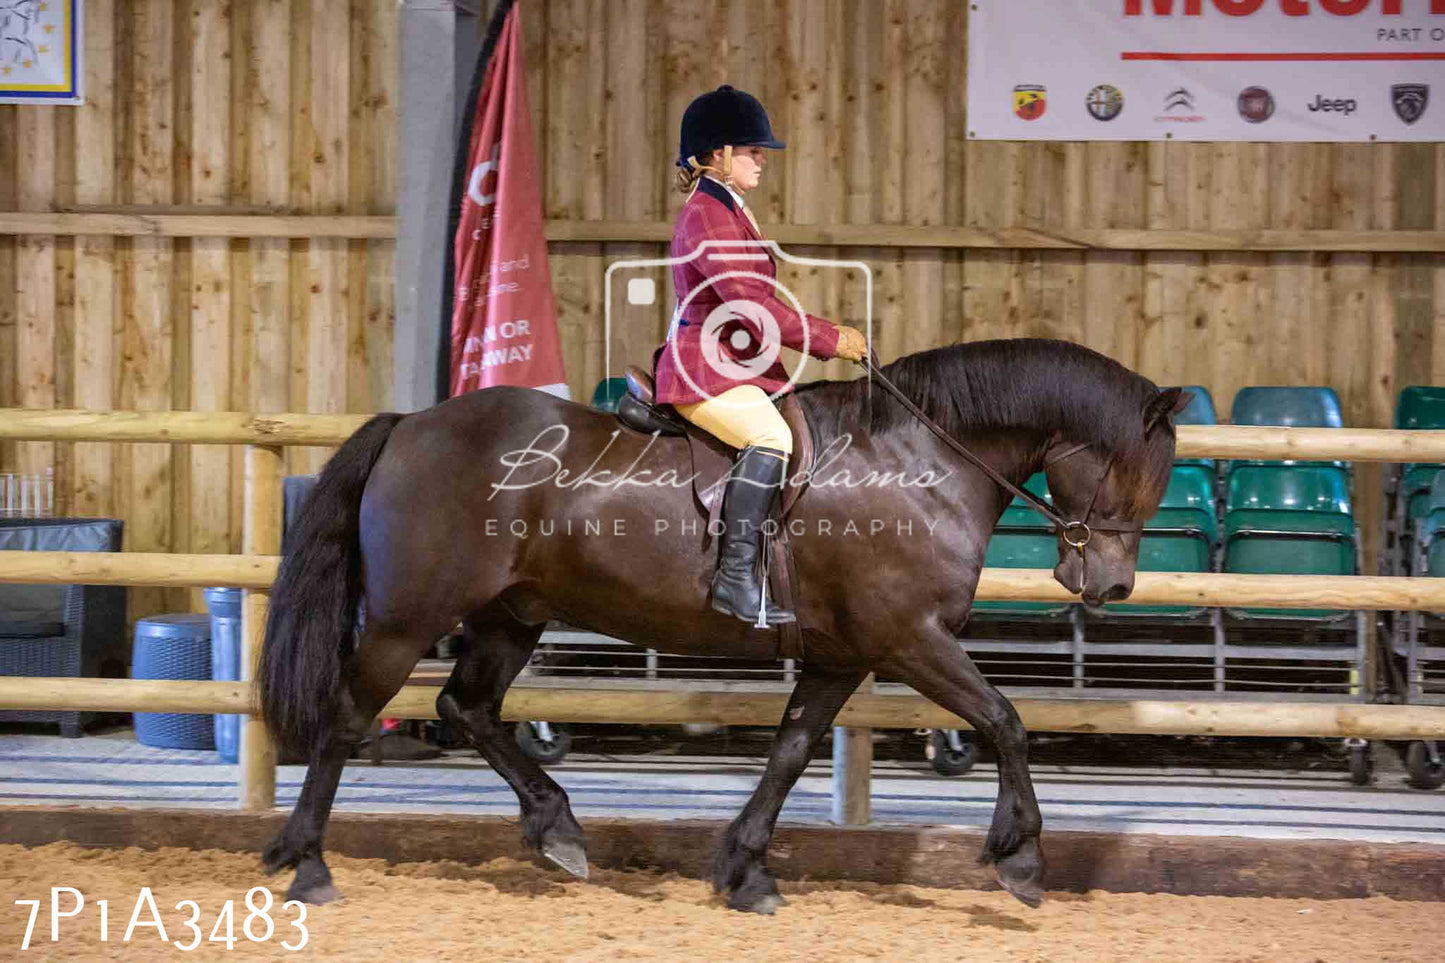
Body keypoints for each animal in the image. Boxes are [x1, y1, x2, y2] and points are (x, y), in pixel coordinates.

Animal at [254, 335, 1190, 908]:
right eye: (1132, 473)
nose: (1110, 586)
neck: (914, 461)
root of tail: (410, 424)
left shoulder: (842, 655)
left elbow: (788, 752)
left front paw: (744, 869)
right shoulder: (909, 639)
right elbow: (1004, 719)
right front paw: (1021, 857)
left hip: (512, 613)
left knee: (469, 706)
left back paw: (557, 829)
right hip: (406, 618)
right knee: (347, 716)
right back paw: (308, 861)